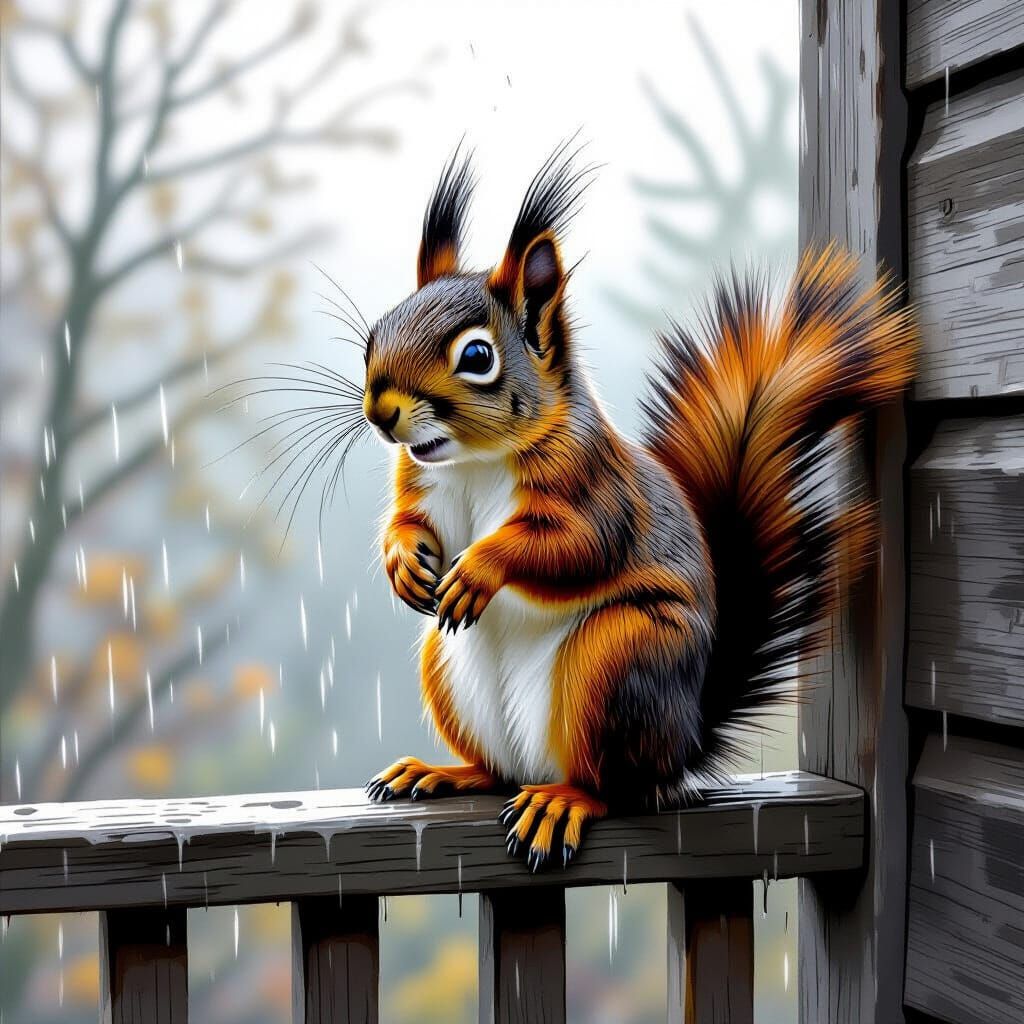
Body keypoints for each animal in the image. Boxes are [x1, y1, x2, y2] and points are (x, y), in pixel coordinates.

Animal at [362, 143, 917, 871]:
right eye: (376, 332)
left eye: (477, 355)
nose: (381, 410)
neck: (474, 461)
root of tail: (684, 745)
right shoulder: (424, 483)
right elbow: (412, 522)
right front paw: (404, 562)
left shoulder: (597, 490)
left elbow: (573, 546)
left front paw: (480, 567)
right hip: (452, 669)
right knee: (498, 771)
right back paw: (445, 773)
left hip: (620, 659)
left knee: (615, 788)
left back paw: (562, 801)